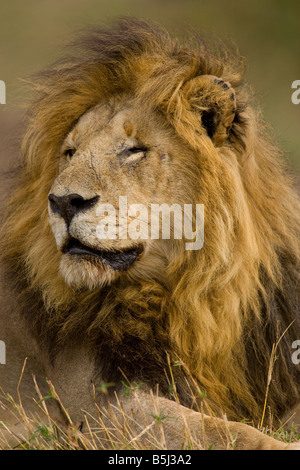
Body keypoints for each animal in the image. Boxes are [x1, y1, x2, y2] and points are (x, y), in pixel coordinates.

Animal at [0, 19, 300, 452]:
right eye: (69, 152)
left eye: (134, 150)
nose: (62, 201)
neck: (193, 297)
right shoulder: (94, 408)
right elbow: (215, 429)